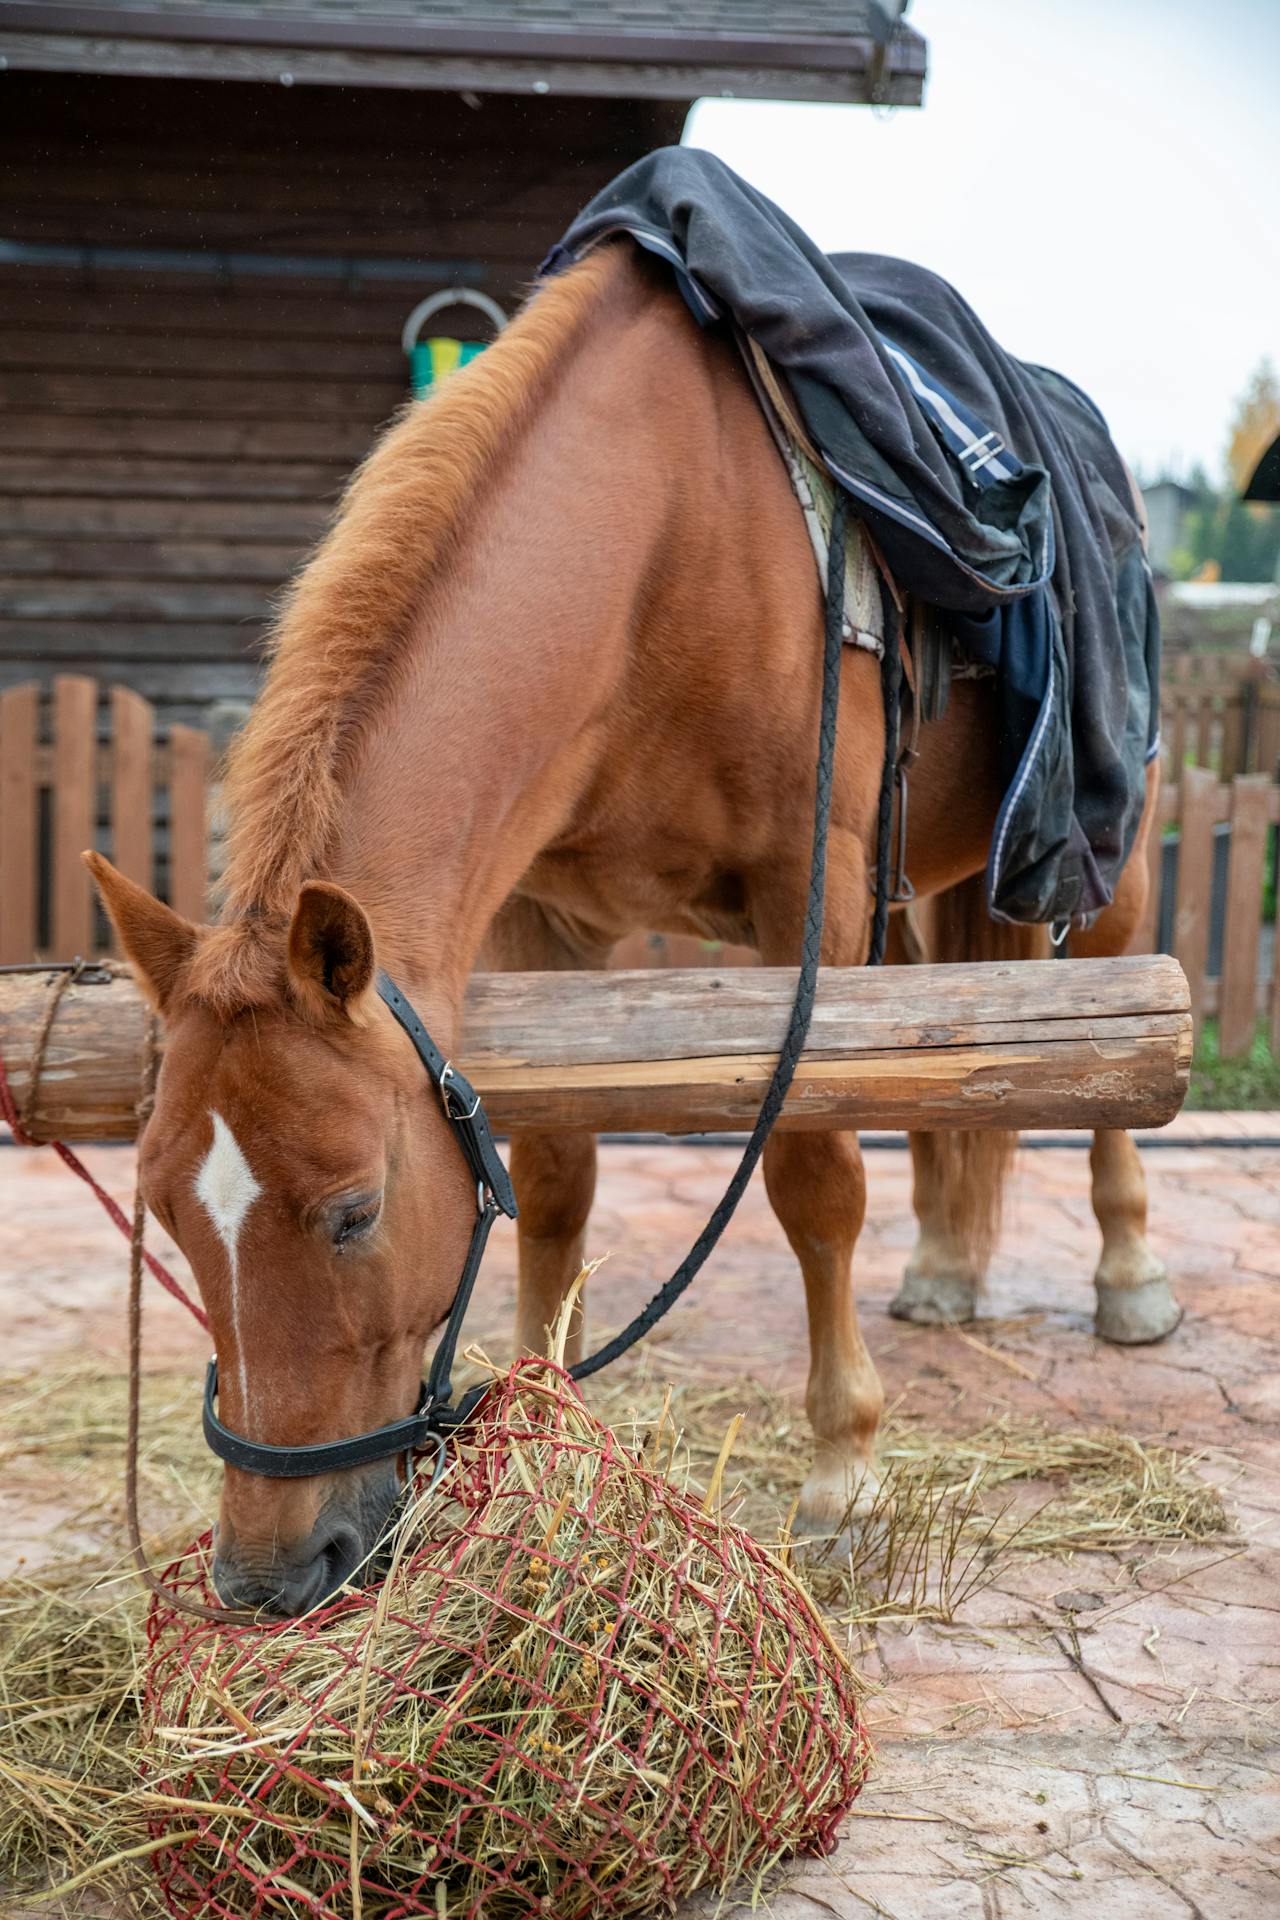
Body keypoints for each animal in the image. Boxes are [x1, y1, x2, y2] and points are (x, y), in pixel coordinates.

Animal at [88, 242, 1178, 1617]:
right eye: (166, 1213)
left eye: (354, 1213)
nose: (268, 1576)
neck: (659, 540)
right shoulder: (540, 913)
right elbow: (555, 1172)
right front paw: (542, 1432)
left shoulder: (809, 893)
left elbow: (814, 1177)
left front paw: (842, 1474)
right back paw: (944, 1265)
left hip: (1105, 853)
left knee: (1108, 1046)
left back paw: (1128, 1277)